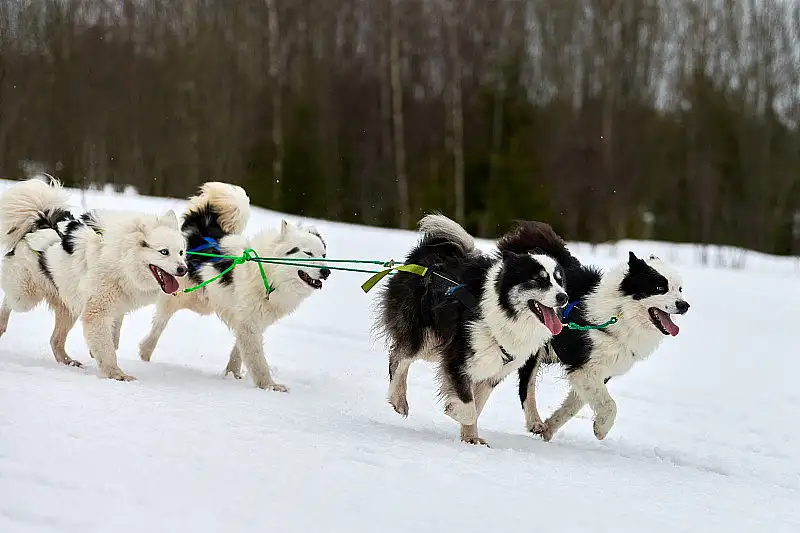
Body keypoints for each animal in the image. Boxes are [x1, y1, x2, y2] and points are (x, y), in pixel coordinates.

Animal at [0, 179, 187, 378]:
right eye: (164, 252)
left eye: (181, 252)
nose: (183, 269)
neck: (122, 261)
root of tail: (40, 222)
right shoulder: (97, 311)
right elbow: (107, 347)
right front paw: (117, 374)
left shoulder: (116, 308)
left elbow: (113, 339)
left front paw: (96, 353)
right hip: (25, 297)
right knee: (9, 301)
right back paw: (1, 324)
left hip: (69, 307)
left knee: (55, 340)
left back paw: (68, 361)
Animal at [376, 213, 568, 444]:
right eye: (538, 280)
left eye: (559, 281)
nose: (563, 297)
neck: (504, 311)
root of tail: (425, 254)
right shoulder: (457, 357)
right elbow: (469, 407)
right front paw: (454, 410)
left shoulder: (494, 370)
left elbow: (477, 406)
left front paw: (471, 438)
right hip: (422, 336)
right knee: (399, 356)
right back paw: (398, 398)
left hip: (435, 345)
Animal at [504, 220, 692, 440]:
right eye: (659, 288)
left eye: (679, 289)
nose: (684, 305)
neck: (620, 314)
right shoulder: (584, 366)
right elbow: (610, 405)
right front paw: (601, 429)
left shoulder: (598, 371)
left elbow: (573, 406)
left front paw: (550, 429)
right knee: (527, 385)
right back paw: (534, 421)